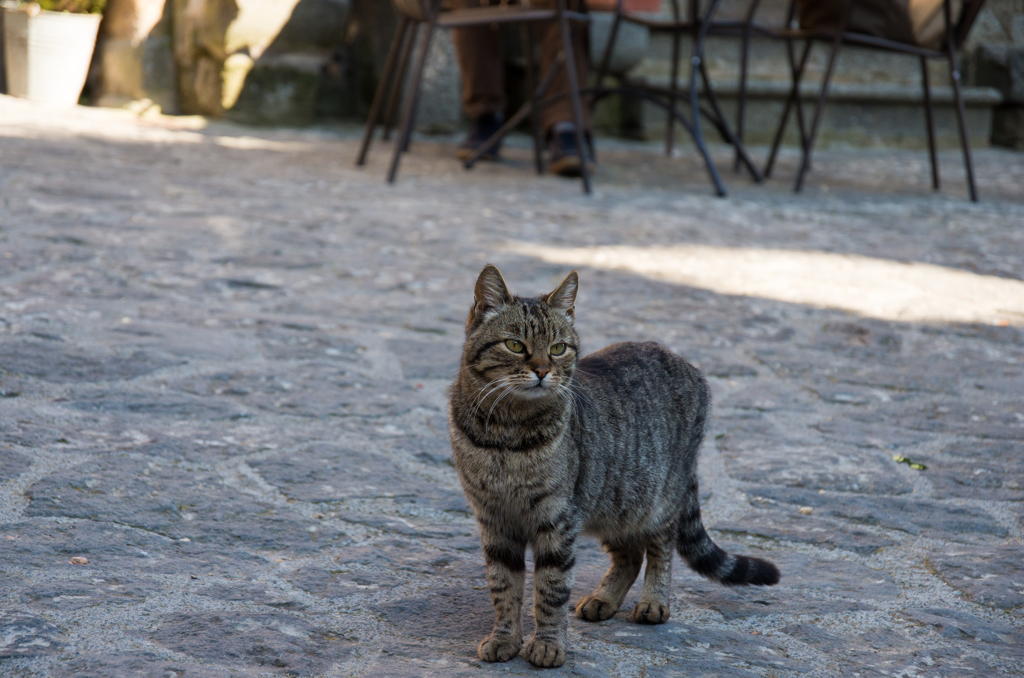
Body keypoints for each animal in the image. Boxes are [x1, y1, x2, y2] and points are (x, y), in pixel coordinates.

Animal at [448, 266, 774, 667]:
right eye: (515, 345)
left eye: (558, 348)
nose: (542, 370)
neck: (505, 435)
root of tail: (683, 360)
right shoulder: (494, 520)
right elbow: (504, 587)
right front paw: (504, 638)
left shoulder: (557, 521)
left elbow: (550, 590)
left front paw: (548, 644)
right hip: (614, 503)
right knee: (630, 556)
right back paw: (603, 599)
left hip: (657, 500)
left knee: (660, 549)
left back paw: (653, 602)